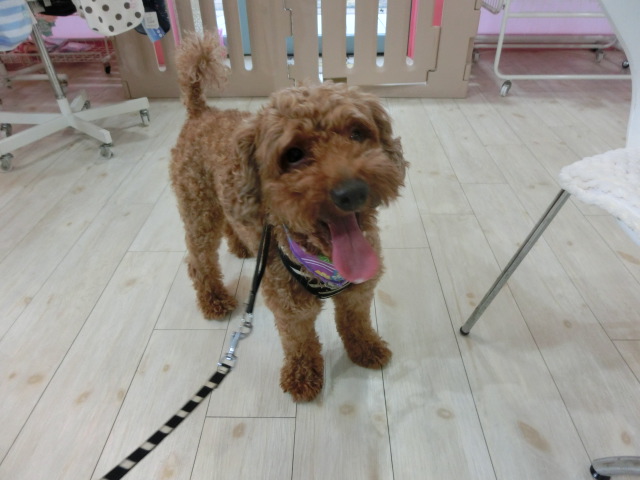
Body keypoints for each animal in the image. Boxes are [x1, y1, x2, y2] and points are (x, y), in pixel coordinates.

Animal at [170, 33, 408, 402]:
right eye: (293, 154)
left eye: (357, 133)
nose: (352, 192)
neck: (324, 264)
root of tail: (201, 112)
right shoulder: (291, 309)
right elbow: (300, 343)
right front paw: (303, 377)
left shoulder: (358, 293)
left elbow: (356, 322)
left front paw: (366, 348)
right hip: (198, 208)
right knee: (199, 262)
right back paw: (215, 301)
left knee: (230, 224)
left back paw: (242, 247)